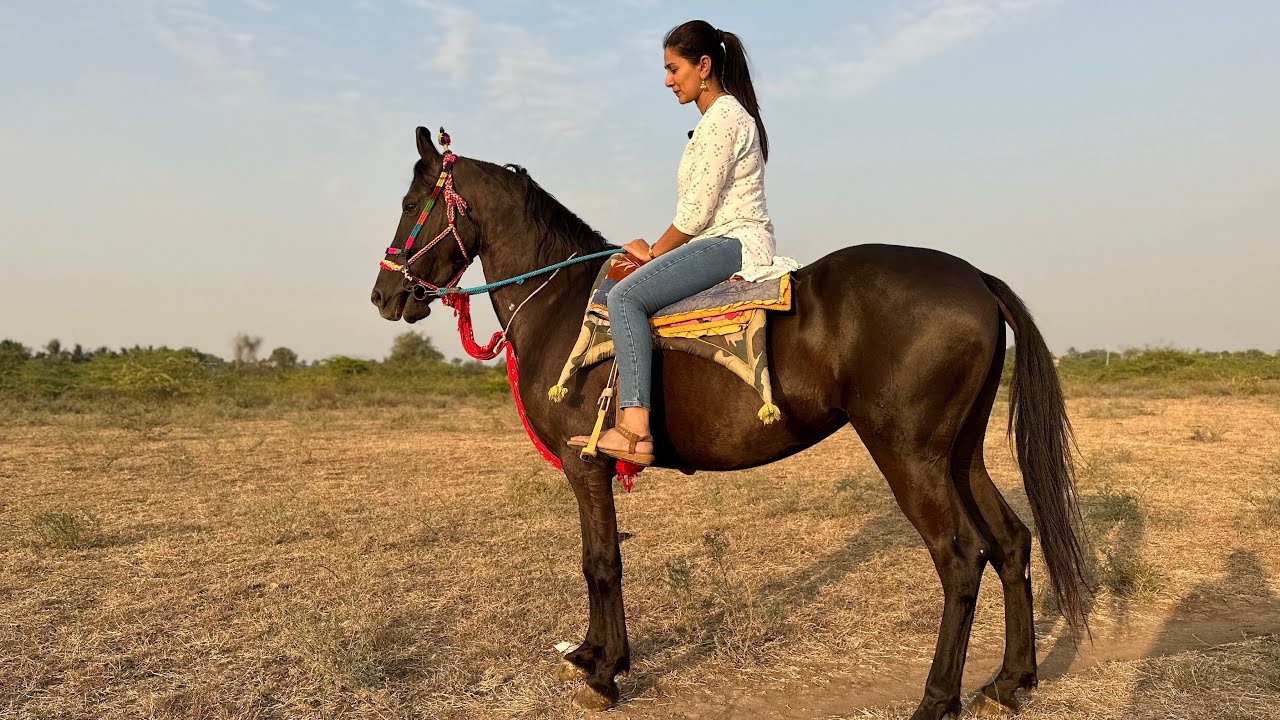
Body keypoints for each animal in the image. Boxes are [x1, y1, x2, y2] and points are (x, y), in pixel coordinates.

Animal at [369, 127, 1089, 720]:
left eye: (409, 204)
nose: (383, 295)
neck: (562, 304)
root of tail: (974, 277)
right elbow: (595, 559)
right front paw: (592, 655)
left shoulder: (586, 462)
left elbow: (601, 562)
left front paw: (606, 673)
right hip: (958, 455)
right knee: (1012, 543)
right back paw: (1009, 682)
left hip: (909, 456)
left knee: (960, 558)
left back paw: (937, 699)